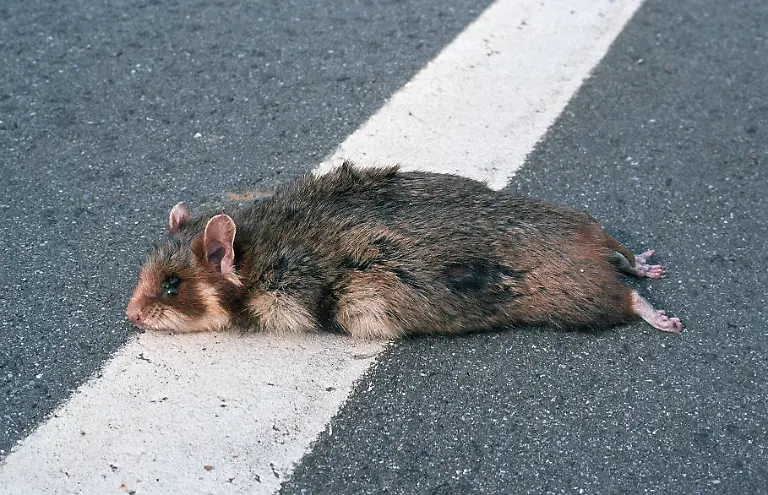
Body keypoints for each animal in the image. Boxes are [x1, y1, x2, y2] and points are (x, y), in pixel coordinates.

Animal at [125, 162, 683, 337]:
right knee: (626, 257)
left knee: (627, 297)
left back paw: (661, 317)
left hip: (578, 300)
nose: (130, 316)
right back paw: (647, 266)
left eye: (171, 286)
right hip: (590, 231)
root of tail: (593, 247)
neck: (259, 246)